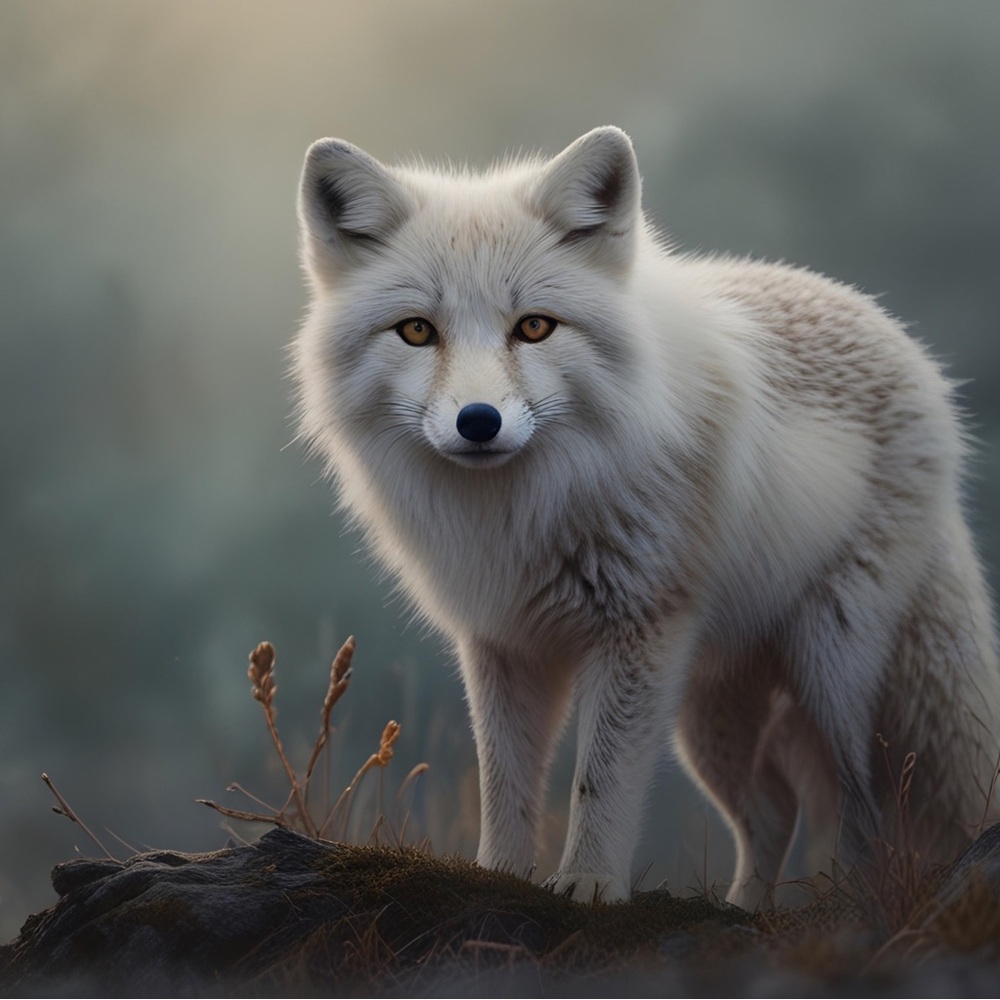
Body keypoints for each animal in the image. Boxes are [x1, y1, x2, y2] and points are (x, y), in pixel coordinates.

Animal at [291, 126, 1000, 909]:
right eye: (417, 331)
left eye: (534, 327)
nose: (478, 422)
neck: (524, 514)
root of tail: (909, 346)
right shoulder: (504, 642)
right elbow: (505, 785)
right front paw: (498, 878)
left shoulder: (636, 630)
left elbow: (600, 783)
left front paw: (591, 884)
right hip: (709, 707)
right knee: (773, 812)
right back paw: (745, 912)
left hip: (829, 666)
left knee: (863, 808)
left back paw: (846, 908)